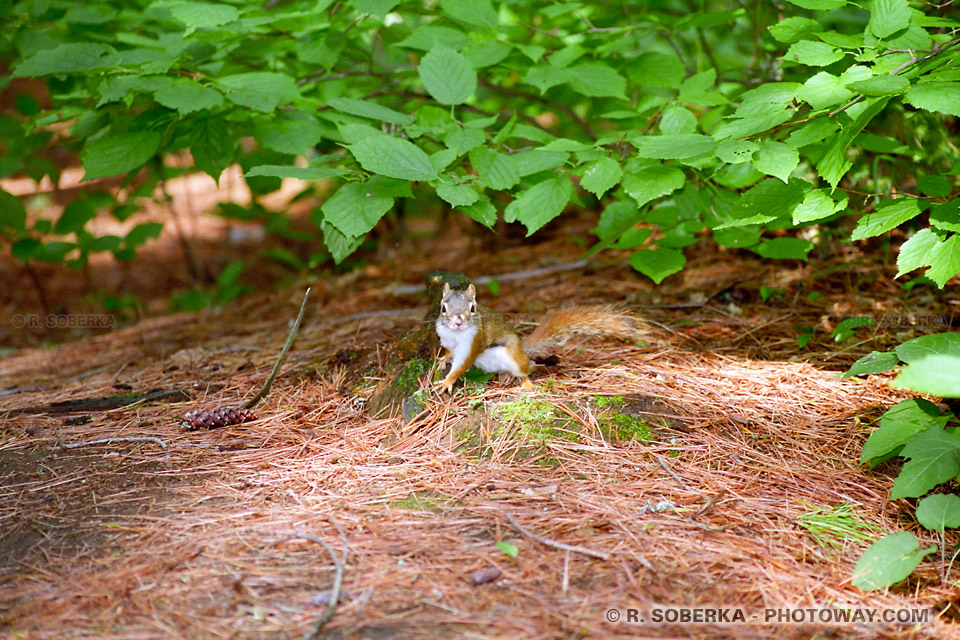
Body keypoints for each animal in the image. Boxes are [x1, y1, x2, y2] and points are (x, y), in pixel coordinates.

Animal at [434, 284, 636, 392]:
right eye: (443, 307)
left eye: (473, 308)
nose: (458, 321)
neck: (456, 334)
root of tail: (521, 348)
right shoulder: (445, 337)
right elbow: (448, 351)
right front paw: (443, 359)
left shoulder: (473, 342)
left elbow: (462, 365)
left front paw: (447, 382)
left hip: (512, 357)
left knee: (526, 368)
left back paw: (526, 384)